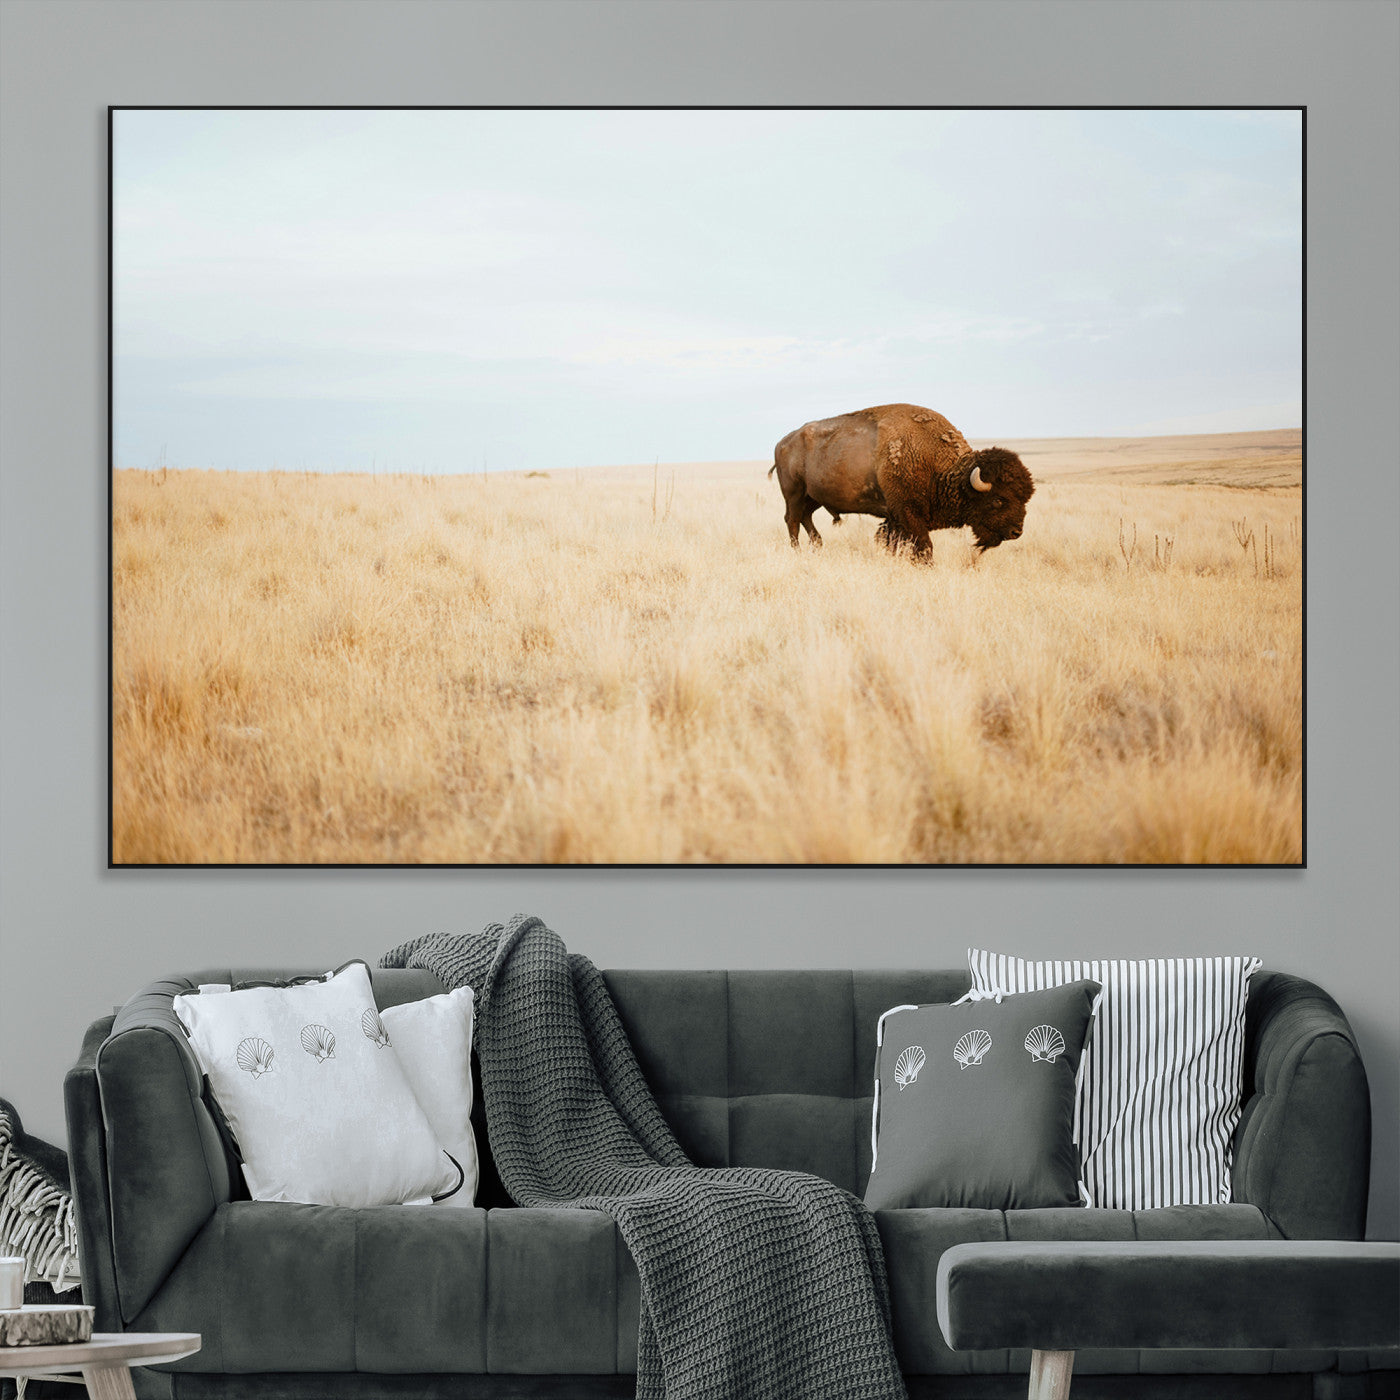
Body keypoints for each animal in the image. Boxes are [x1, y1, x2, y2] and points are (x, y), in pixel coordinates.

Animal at [769, 403, 1035, 559]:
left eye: (1025, 498)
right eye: (998, 499)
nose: (1016, 531)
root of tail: (782, 442)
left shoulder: (896, 518)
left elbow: (892, 541)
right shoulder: (908, 513)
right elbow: (924, 546)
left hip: (813, 497)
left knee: (805, 517)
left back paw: (818, 546)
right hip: (794, 493)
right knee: (792, 520)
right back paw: (798, 551)